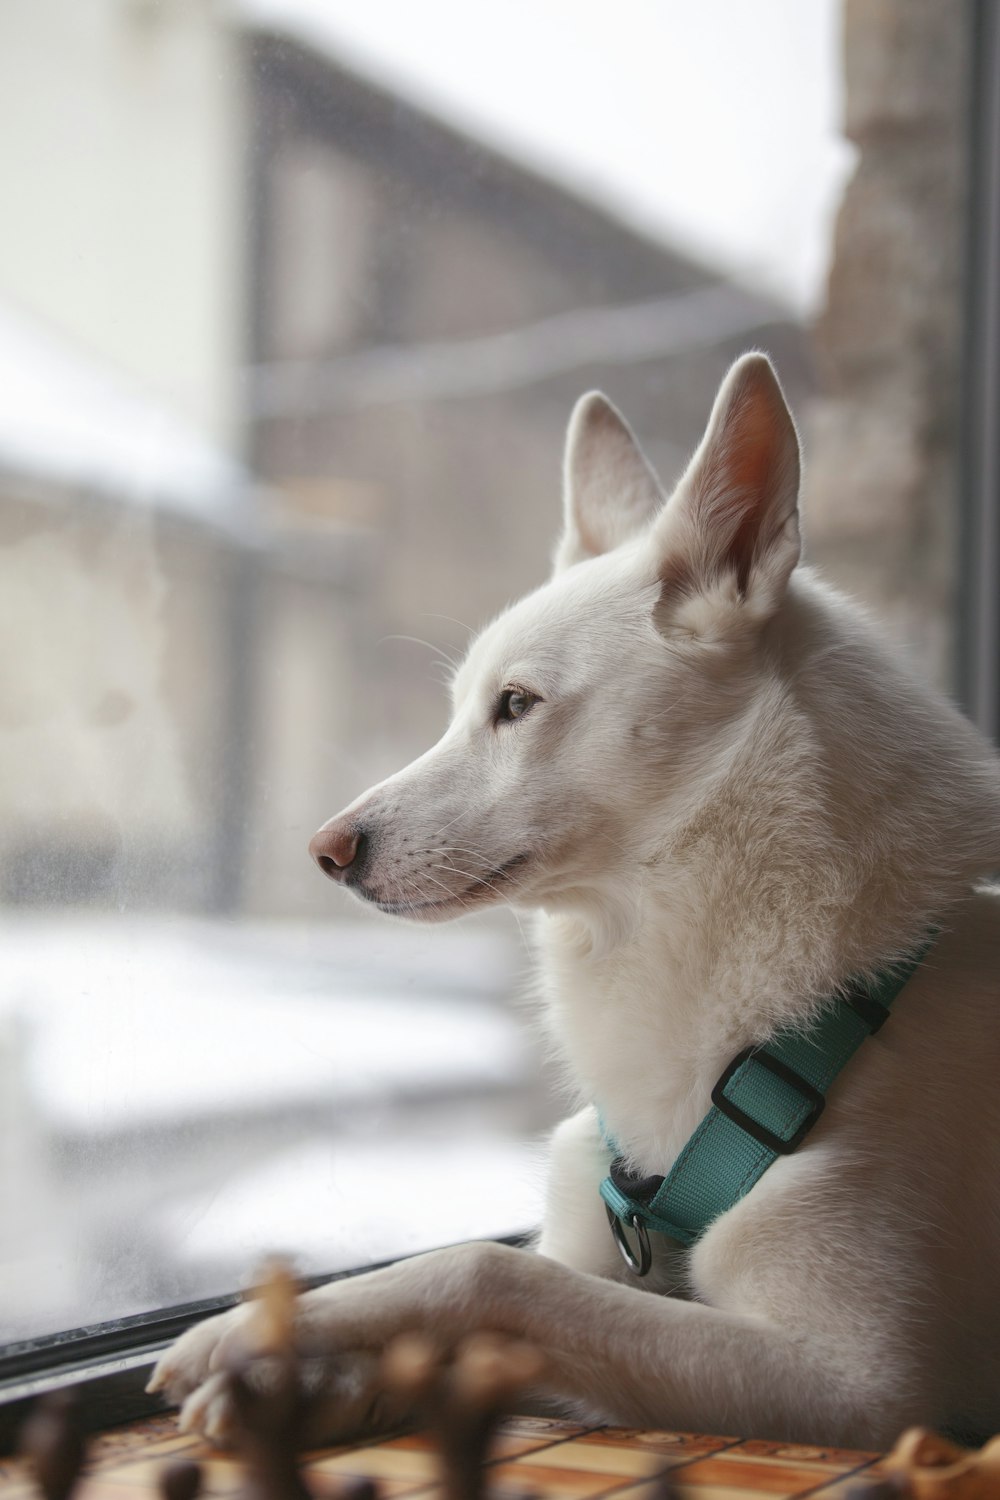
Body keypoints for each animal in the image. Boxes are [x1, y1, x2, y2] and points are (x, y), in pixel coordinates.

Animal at [148, 351, 1000, 1452]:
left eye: (517, 706)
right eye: (462, 709)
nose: (327, 851)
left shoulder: (868, 1387)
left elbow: (484, 1270)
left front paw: (258, 1331)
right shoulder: (603, 1253)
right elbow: (513, 1305)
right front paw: (298, 1377)